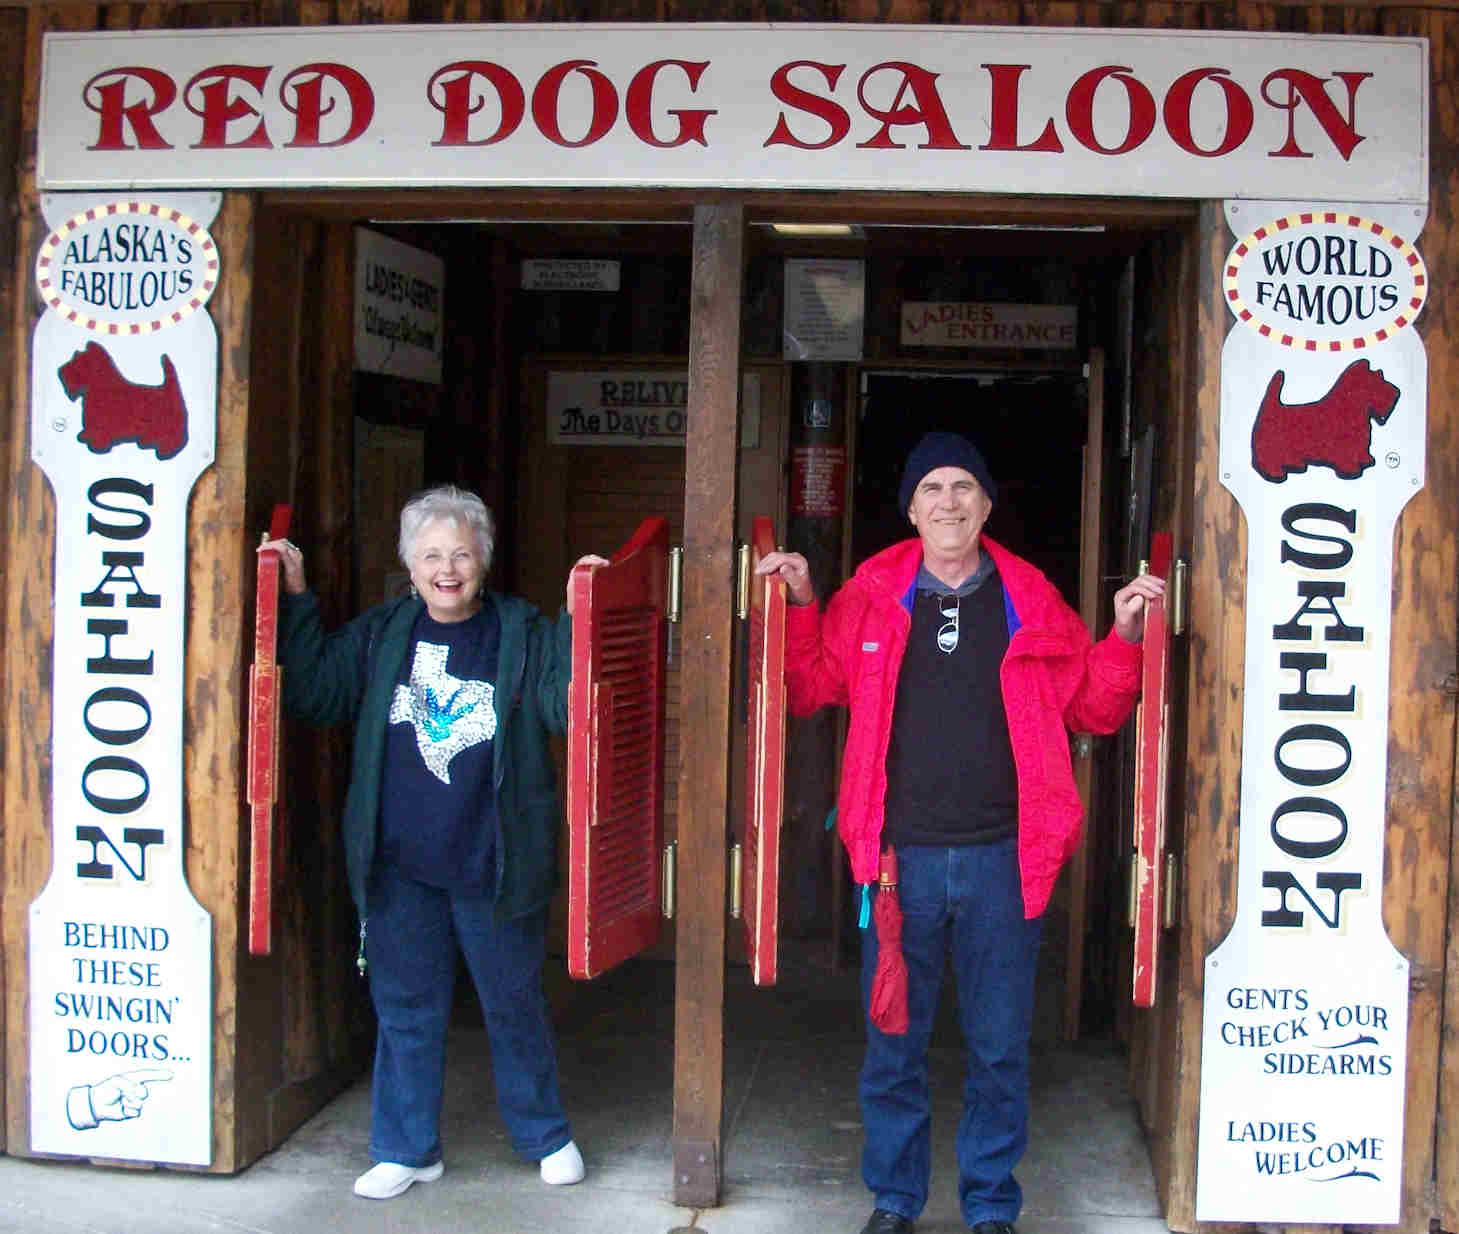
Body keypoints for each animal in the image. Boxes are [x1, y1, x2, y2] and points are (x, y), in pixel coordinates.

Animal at [57, 342, 189, 461]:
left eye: (80, 362)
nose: (61, 370)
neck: (103, 387)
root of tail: (170, 388)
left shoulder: (101, 426)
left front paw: (98, 447)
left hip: (170, 425)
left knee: (174, 438)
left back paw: (164, 451)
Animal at [1250, 358, 1400, 483]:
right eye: (1376, 380)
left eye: (1381, 375)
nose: (1396, 392)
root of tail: (1270, 405)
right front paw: (1352, 470)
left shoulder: (1361, 447)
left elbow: (1363, 454)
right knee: (1269, 460)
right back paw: (1276, 473)